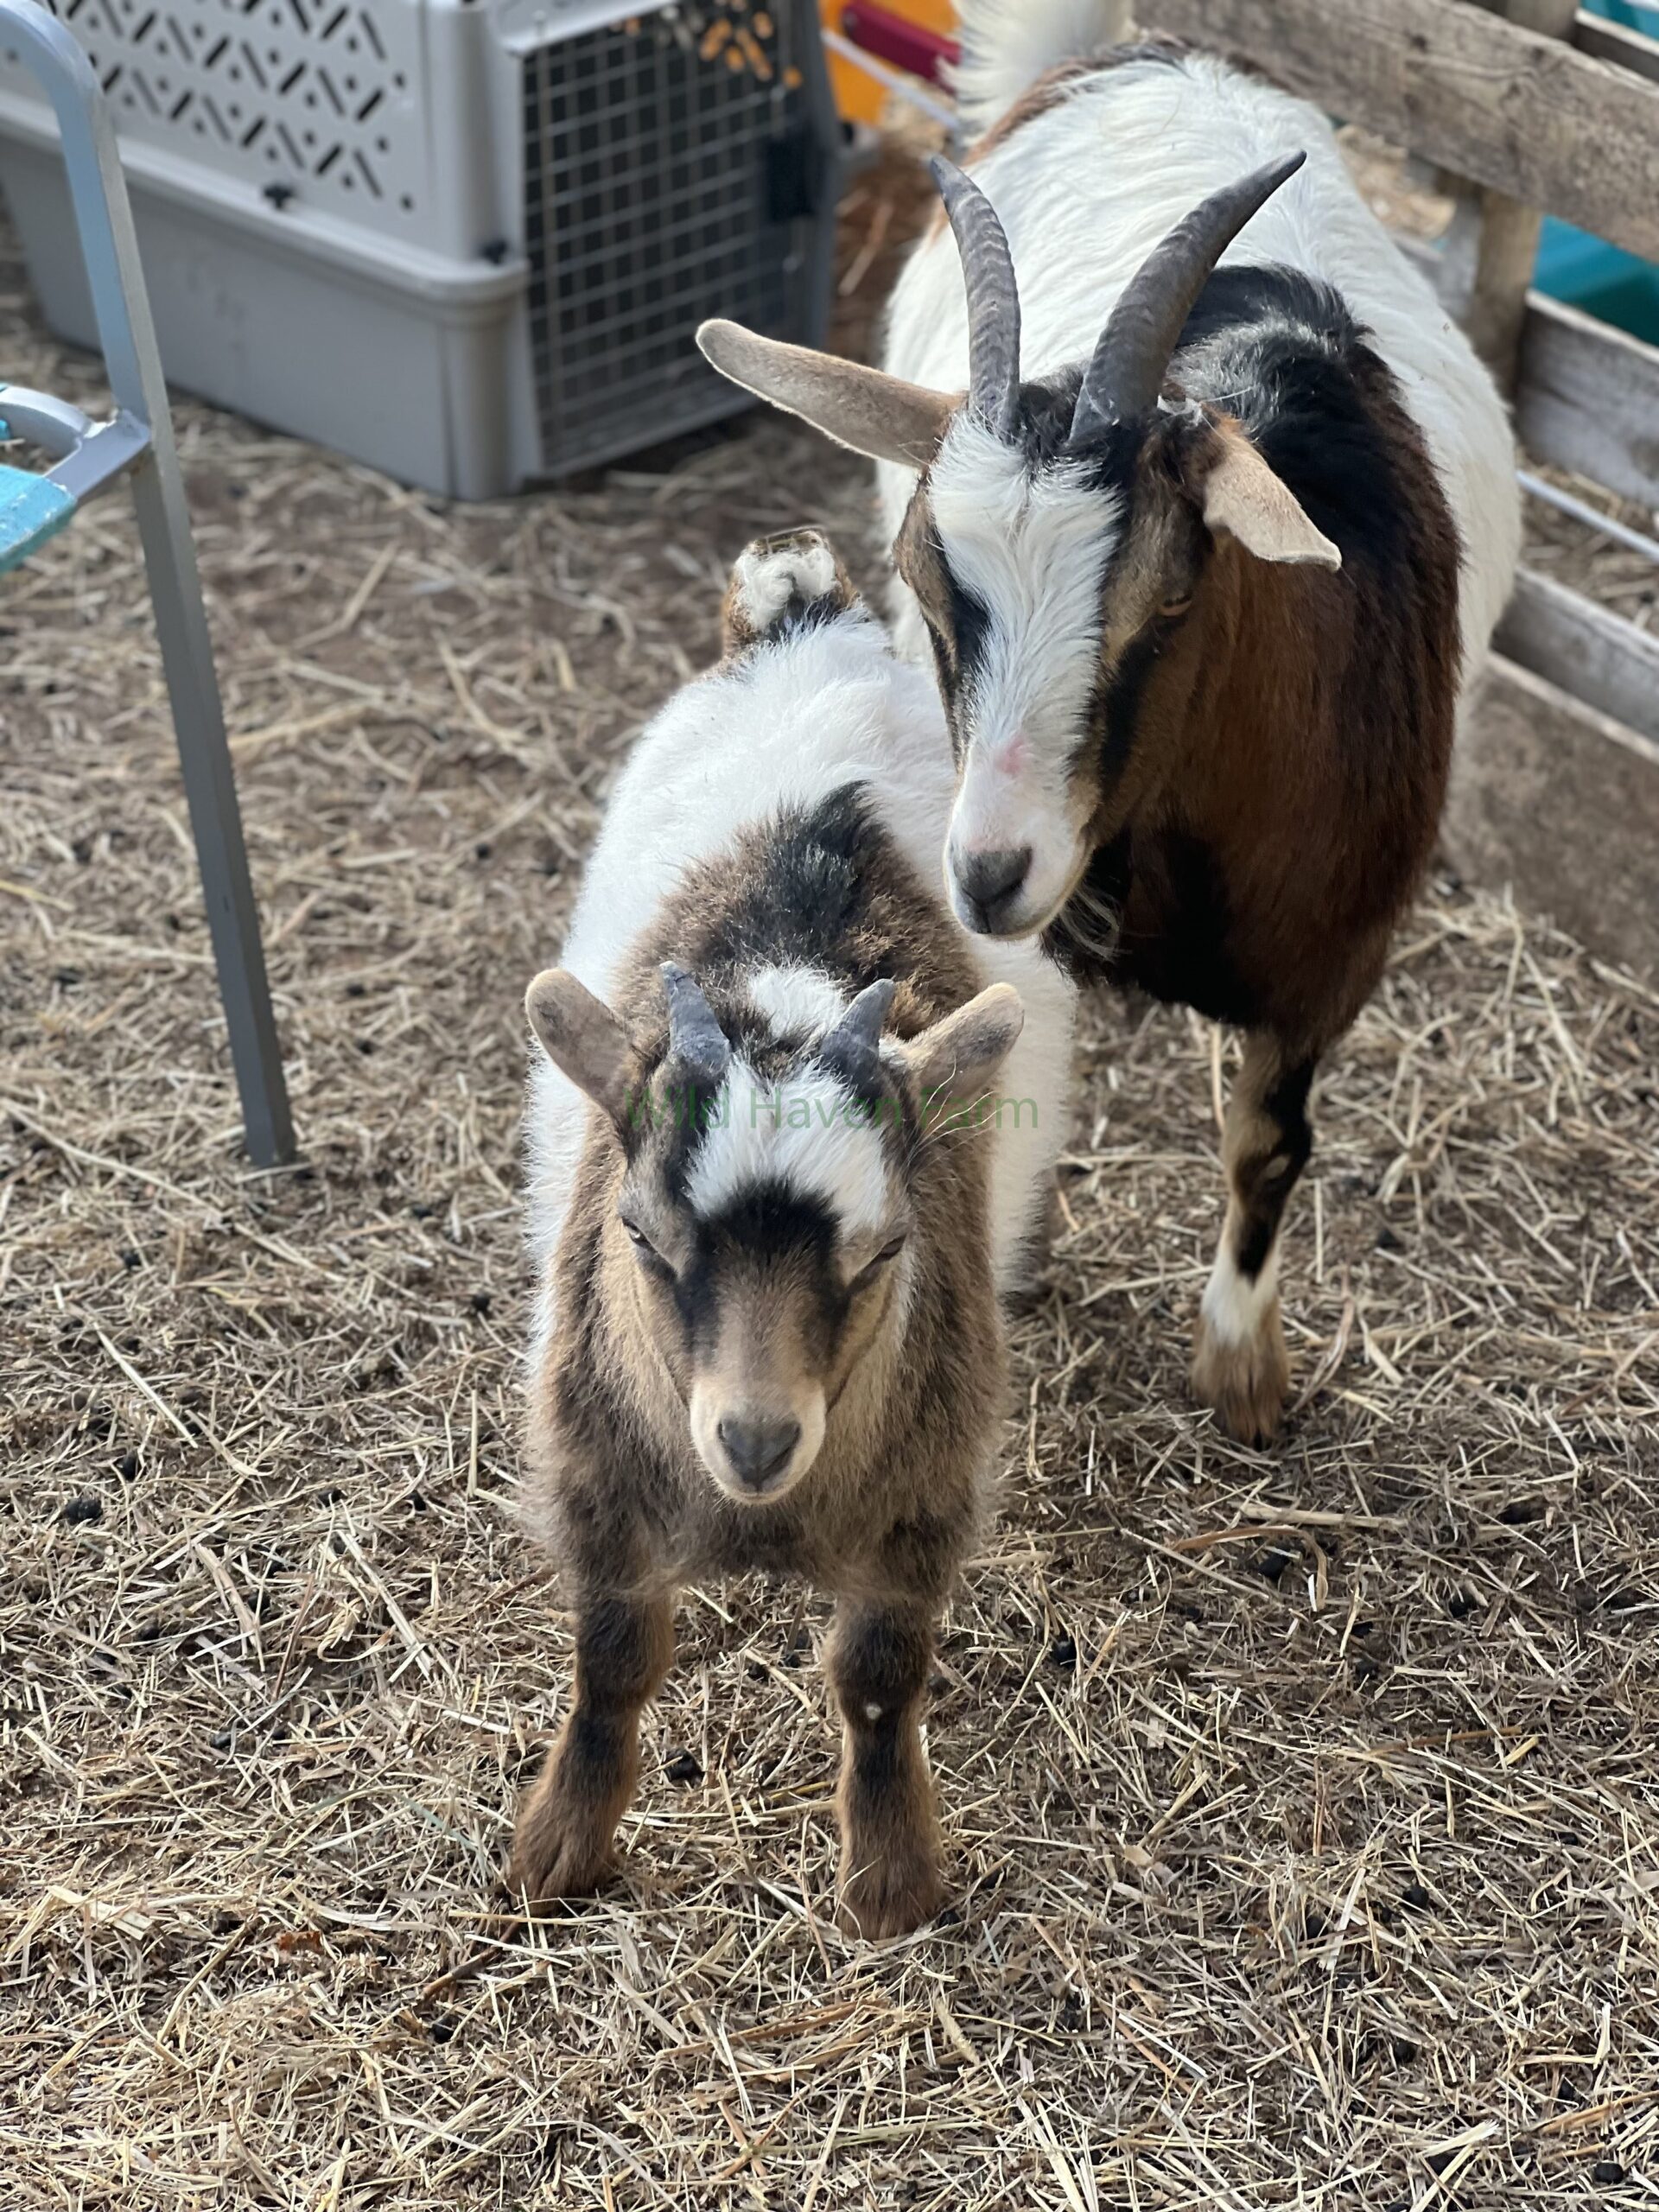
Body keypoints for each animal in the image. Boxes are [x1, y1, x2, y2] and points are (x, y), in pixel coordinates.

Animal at [511, 532, 1076, 1937]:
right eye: (644, 1238)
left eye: (880, 1255)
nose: (756, 1440)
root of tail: (802, 616)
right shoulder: (598, 1474)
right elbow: (613, 1659)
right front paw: (557, 1850)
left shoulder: (923, 1499)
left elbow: (878, 1675)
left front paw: (889, 1879)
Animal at [697, 0, 1520, 1444]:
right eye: (926, 578)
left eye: (1168, 598)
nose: (989, 870)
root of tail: (1141, 51)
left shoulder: (1335, 955)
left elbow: (1268, 1144)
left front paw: (1242, 1371)